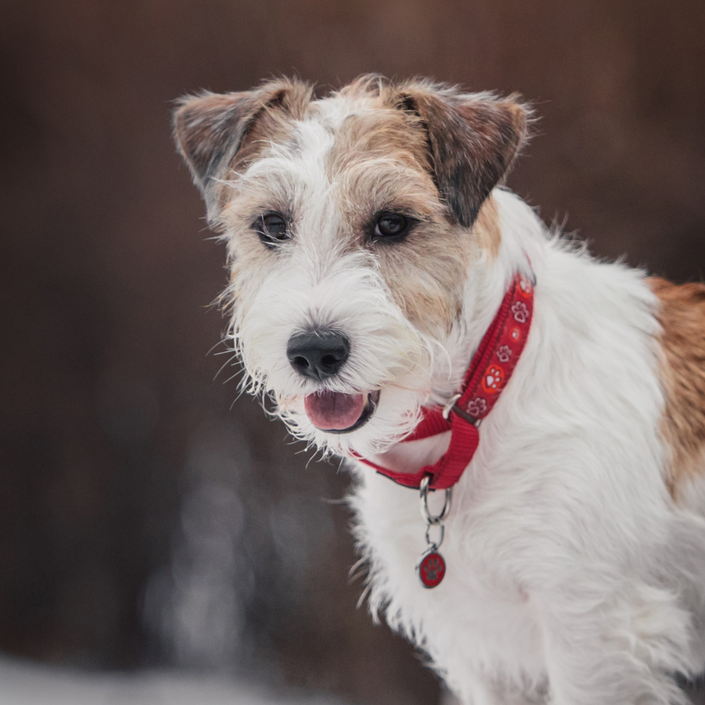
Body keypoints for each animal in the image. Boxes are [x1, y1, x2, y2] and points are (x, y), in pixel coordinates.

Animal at [173, 77, 704, 704]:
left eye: (392, 223)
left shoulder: (593, 631)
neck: (471, 412)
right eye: (273, 224)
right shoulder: (485, 653)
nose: (315, 351)